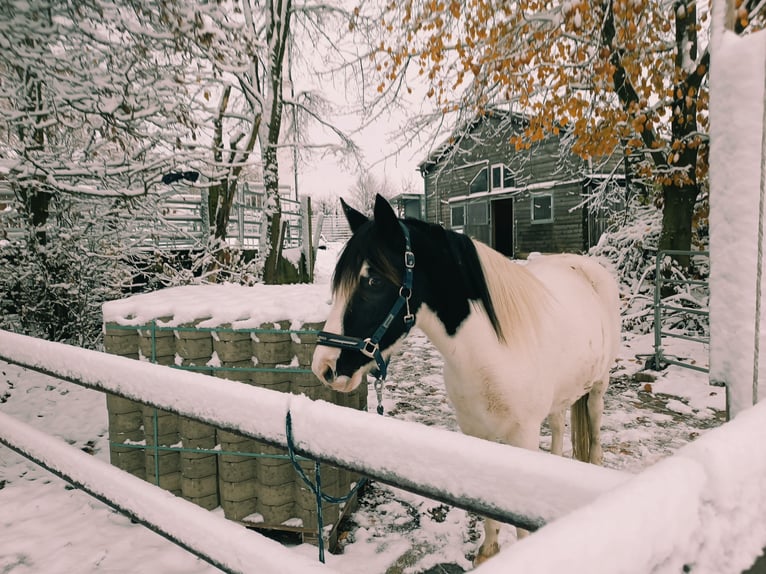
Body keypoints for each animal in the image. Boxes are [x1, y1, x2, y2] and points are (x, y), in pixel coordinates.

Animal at [312, 194, 624, 568]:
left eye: (372, 282)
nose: (324, 366)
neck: (490, 351)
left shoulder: (522, 437)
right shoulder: (476, 433)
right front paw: (488, 552)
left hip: (598, 388)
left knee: (593, 425)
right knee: (558, 427)